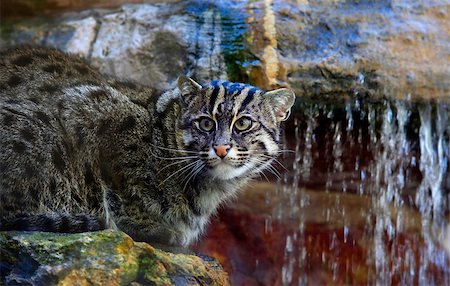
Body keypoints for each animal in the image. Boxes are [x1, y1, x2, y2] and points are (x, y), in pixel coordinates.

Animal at [0, 46, 296, 246]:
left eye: (243, 124)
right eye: (205, 124)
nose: (221, 148)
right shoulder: (88, 106)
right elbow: (121, 181)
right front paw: (144, 222)